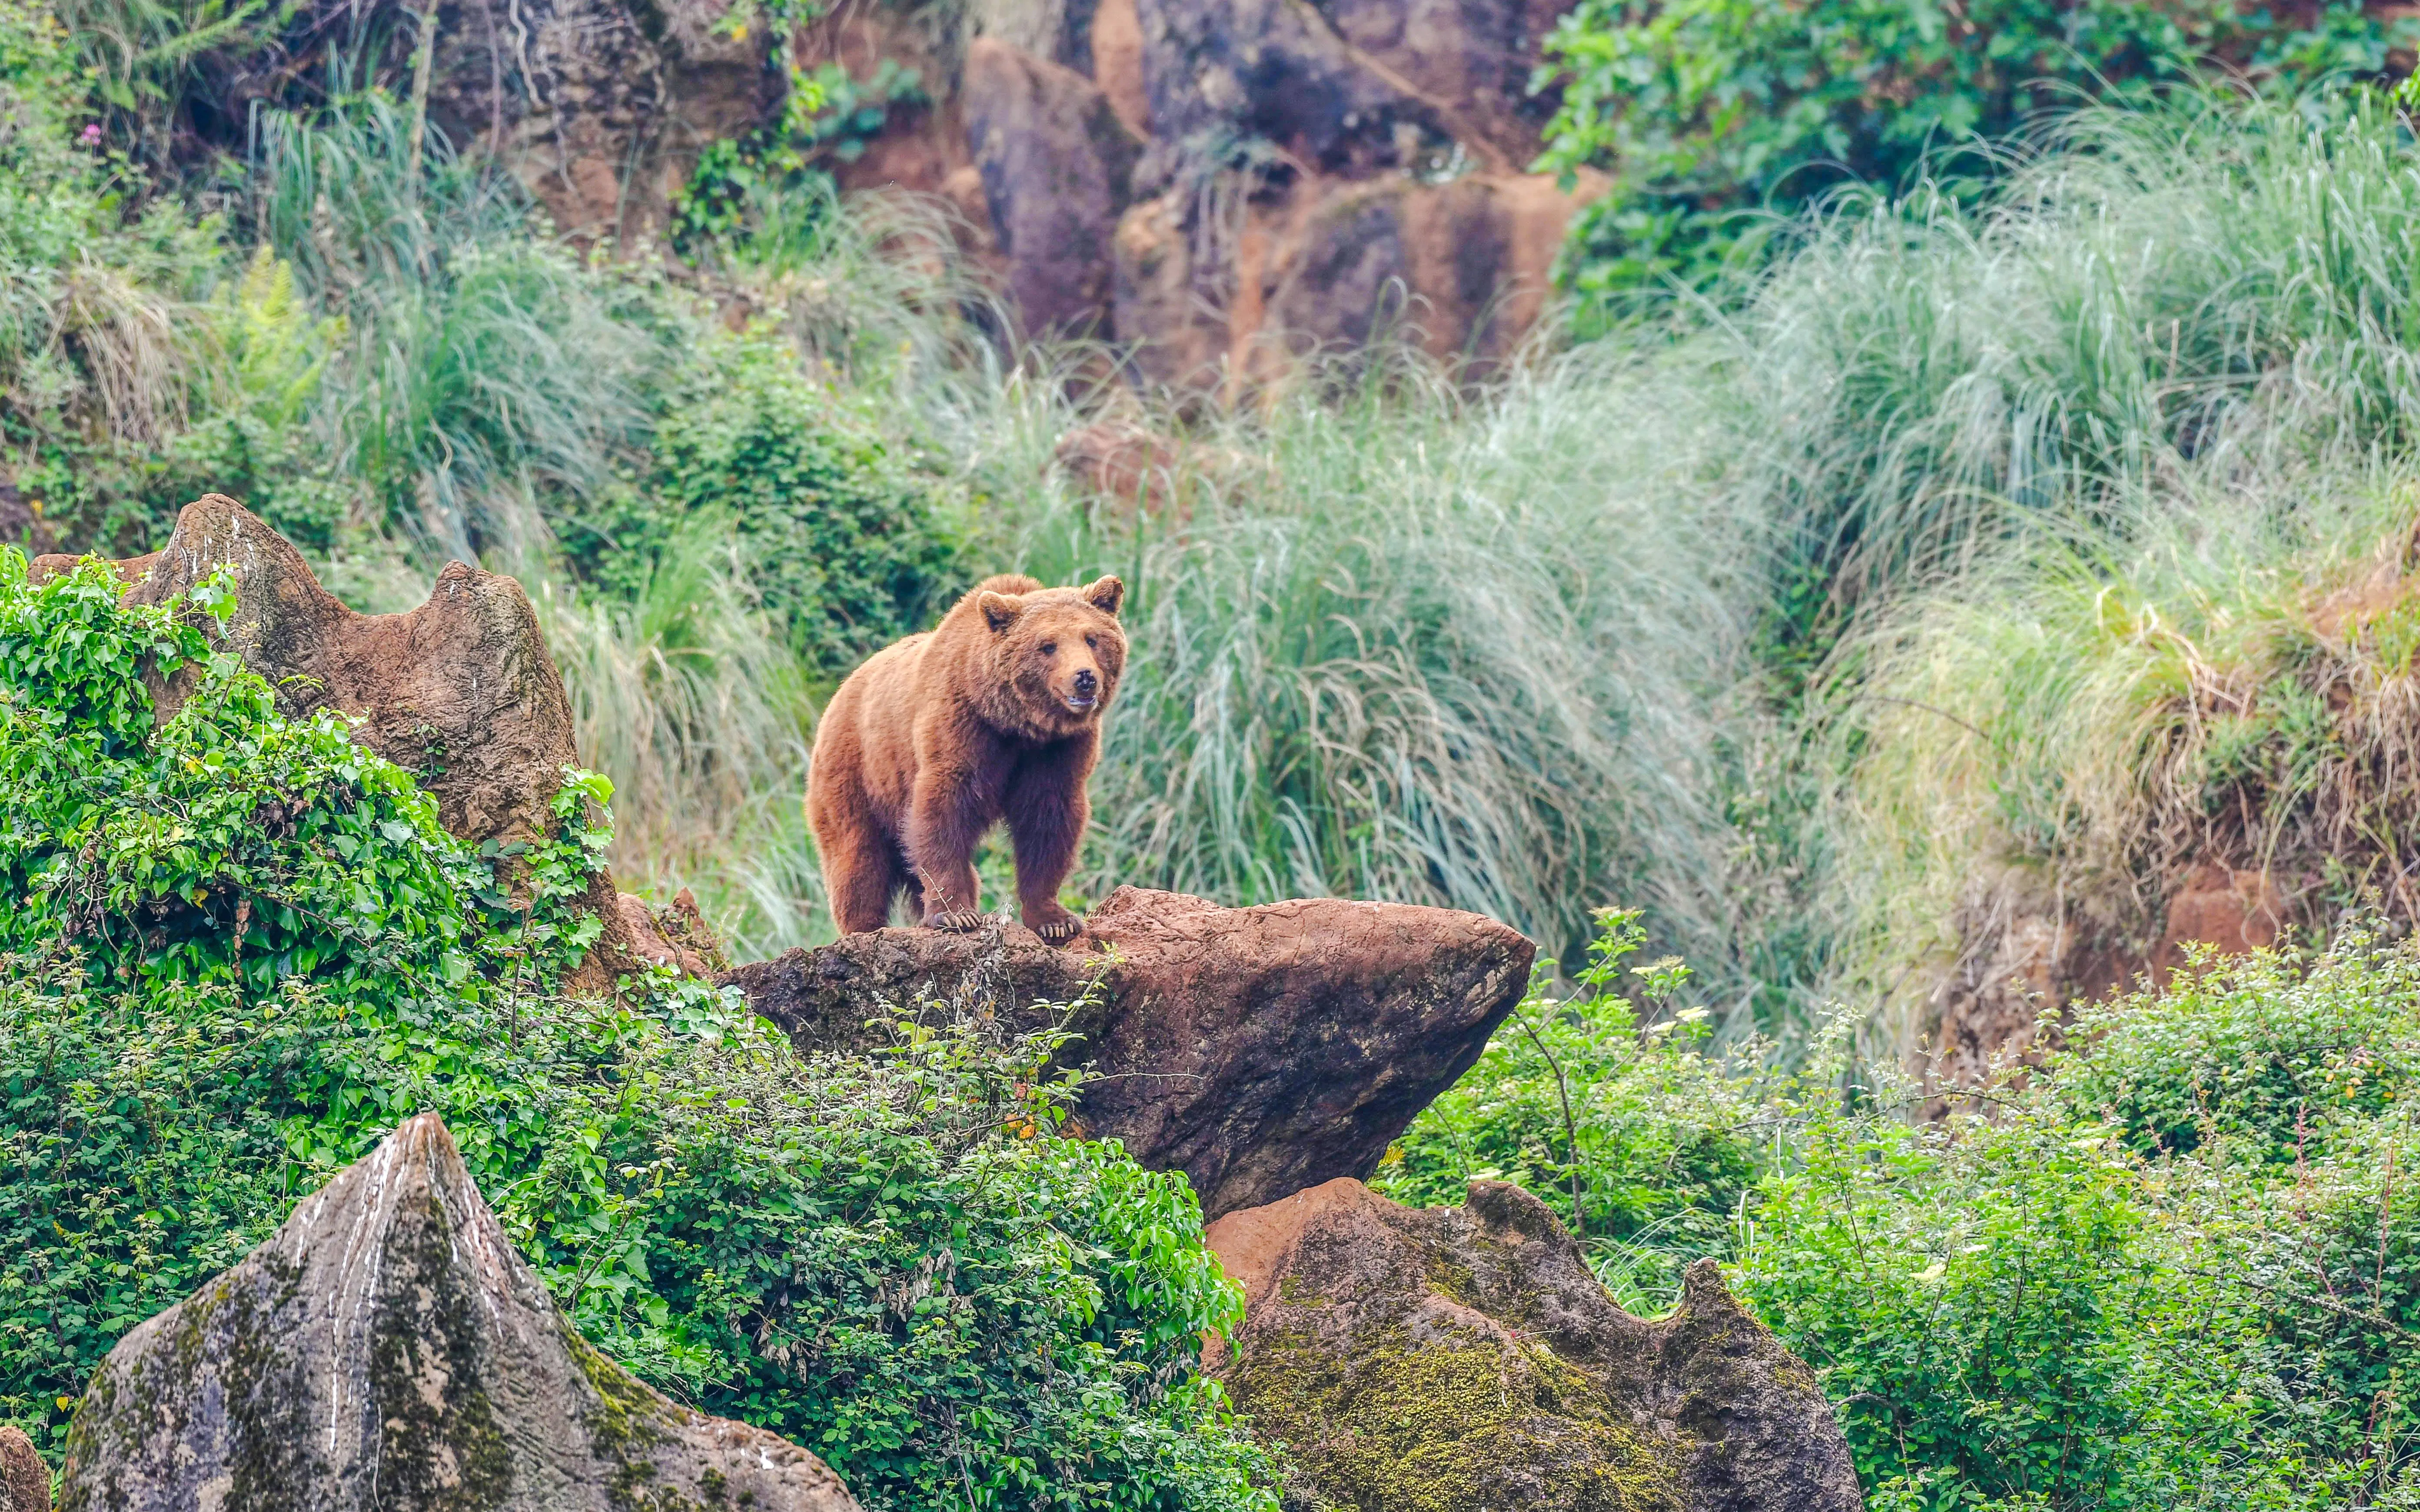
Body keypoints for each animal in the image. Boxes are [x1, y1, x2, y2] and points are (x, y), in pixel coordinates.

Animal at [807, 572, 1127, 941]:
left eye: (1092, 639)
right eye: (1048, 646)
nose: (1084, 678)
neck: (1015, 723)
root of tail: (841, 691)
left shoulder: (1058, 750)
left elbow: (1049, 821)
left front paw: (1056, 920)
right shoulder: (963, 728)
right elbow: (943, 814)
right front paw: (956, 915)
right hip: (856, 769)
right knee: (858, 856)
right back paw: (865, 928)